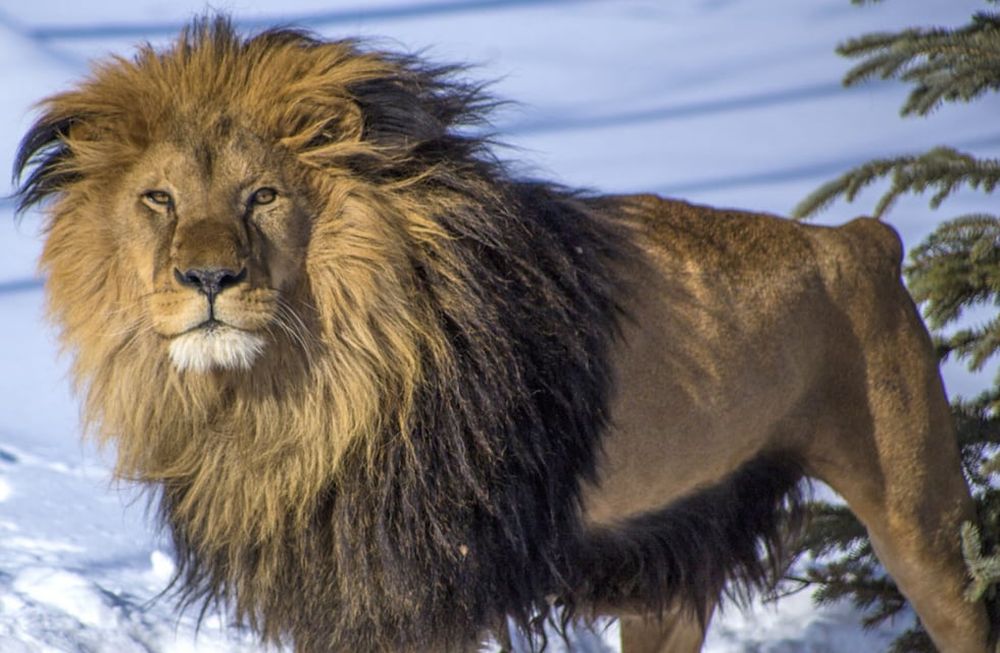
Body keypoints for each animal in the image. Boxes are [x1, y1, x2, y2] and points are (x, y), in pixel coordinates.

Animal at [12, 17, 989, 653]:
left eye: (263, 195)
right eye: (159, 199)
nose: (208, 280)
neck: (293, 392)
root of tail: (858, 236)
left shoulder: (416, 592)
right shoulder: (337, 589)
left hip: (924, 524)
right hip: (668, 565)